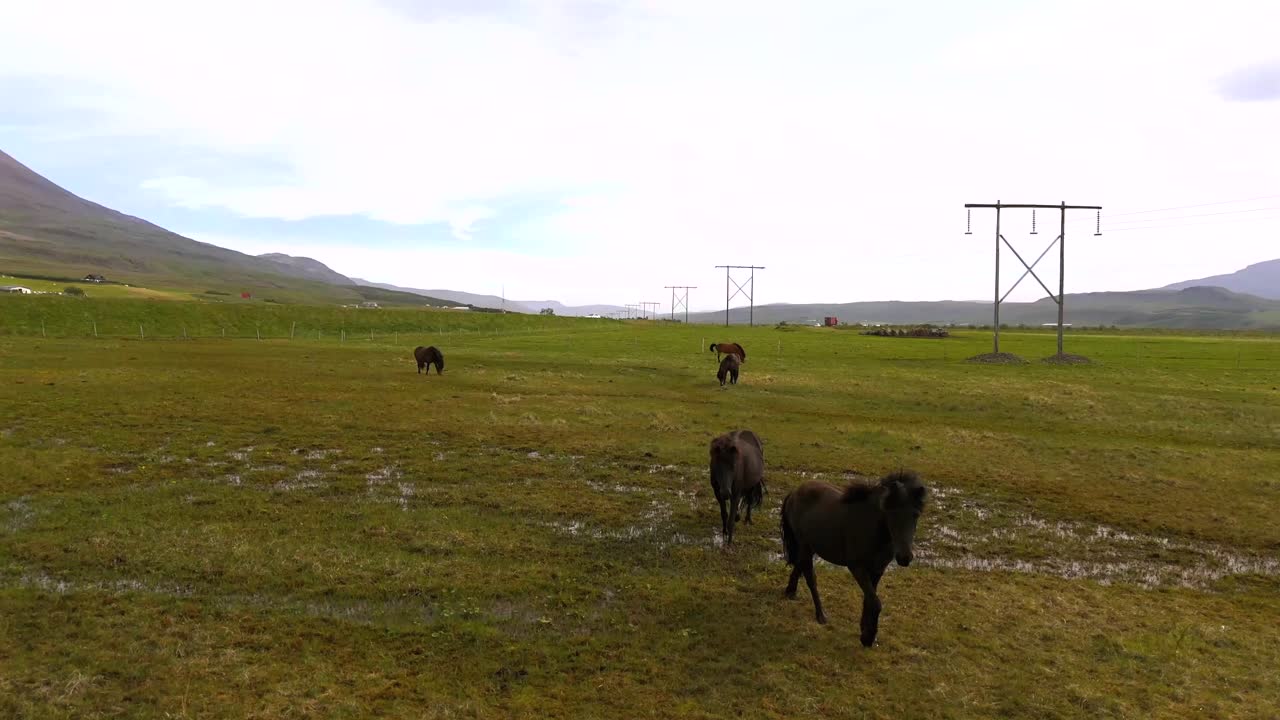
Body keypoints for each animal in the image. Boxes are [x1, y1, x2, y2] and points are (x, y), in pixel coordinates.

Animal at [780, 470, 928, 647]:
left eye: (915, 515)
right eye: (891, 513)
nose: (904, 557)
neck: (872, 529)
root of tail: (794, 492)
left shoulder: (877, 569)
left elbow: (869, 599)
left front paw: (865, 631)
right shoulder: (857, 567)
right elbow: (875, 602)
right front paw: (868, 637)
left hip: (810, 547)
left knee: (799, 565)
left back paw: (790, 591)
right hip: (805, 546)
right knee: (810, 577)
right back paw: (821, 615)